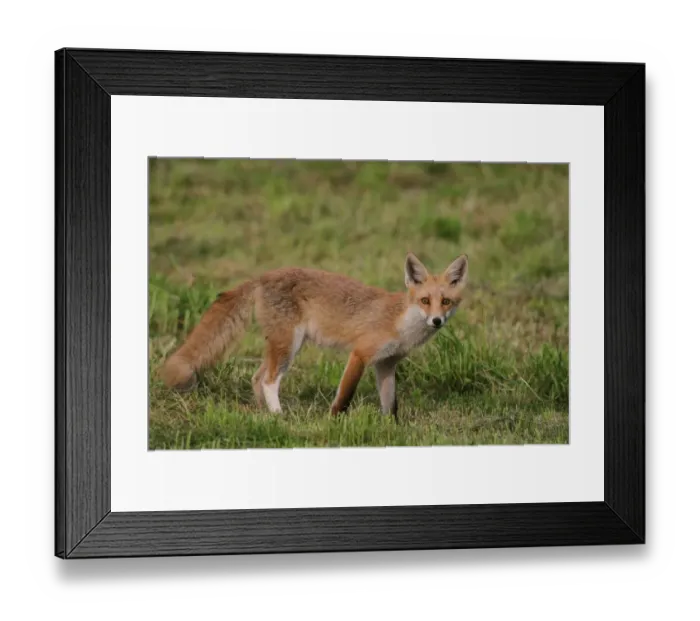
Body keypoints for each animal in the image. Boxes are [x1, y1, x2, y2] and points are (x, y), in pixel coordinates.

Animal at [159, 252, 469, 419]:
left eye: (446, 302)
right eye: (425, 301)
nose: (437, 321)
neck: (400, 323)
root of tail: (263, 276)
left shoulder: (386, 364)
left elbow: (390, 405)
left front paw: (392, 429)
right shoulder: (361, 354)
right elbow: (344, 397)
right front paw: (334, 424)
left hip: (282, 345)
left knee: (257, 377)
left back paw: (264, 416)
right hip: (289, 345)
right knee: (269, 380)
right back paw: (279, 416)